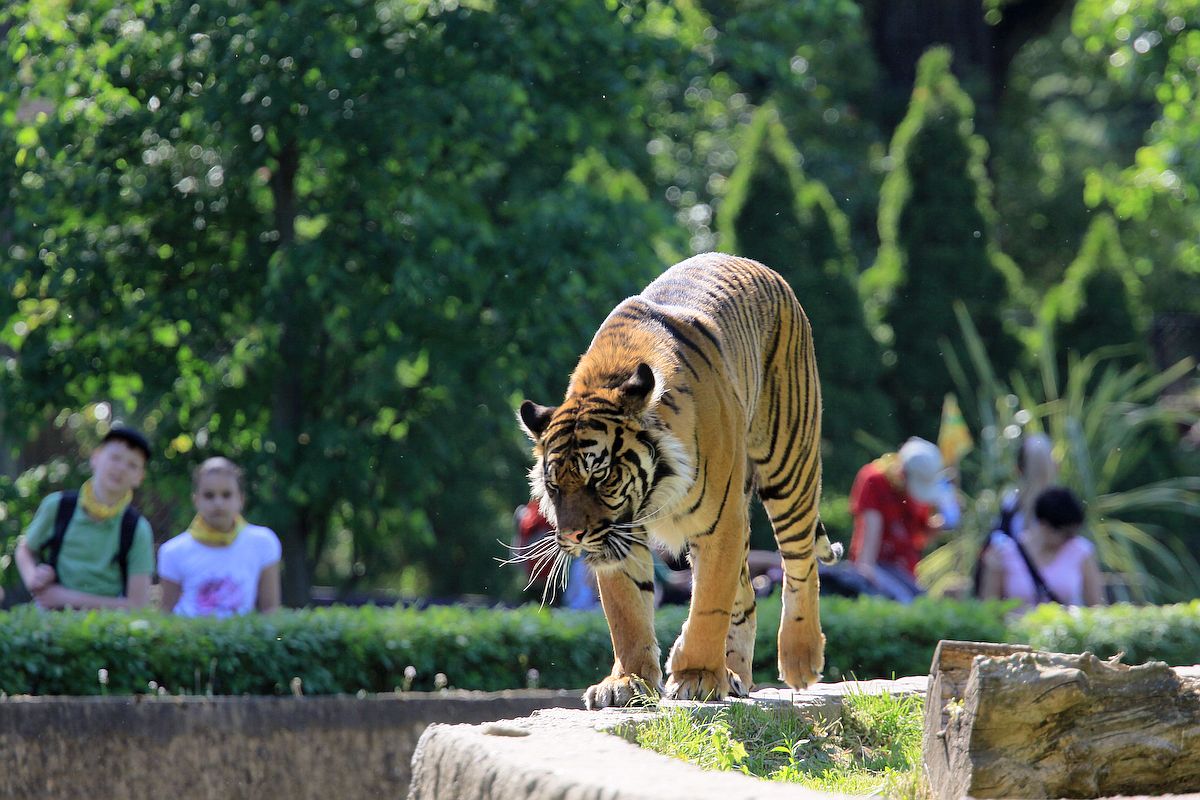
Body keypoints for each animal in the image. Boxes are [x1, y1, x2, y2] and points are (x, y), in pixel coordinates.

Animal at [518, 253, 844, 710]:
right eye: (554, 487)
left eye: (599, 475)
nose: (573, 537)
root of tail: (759, 267)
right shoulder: (618, 537)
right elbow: (626, 613)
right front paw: (628, 681)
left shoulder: (719, 525)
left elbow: (708, 604)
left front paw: (696, 676)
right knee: (747, 593)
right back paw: (736, 676)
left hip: (788, 462)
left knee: (800, 562)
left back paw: (800, 658)